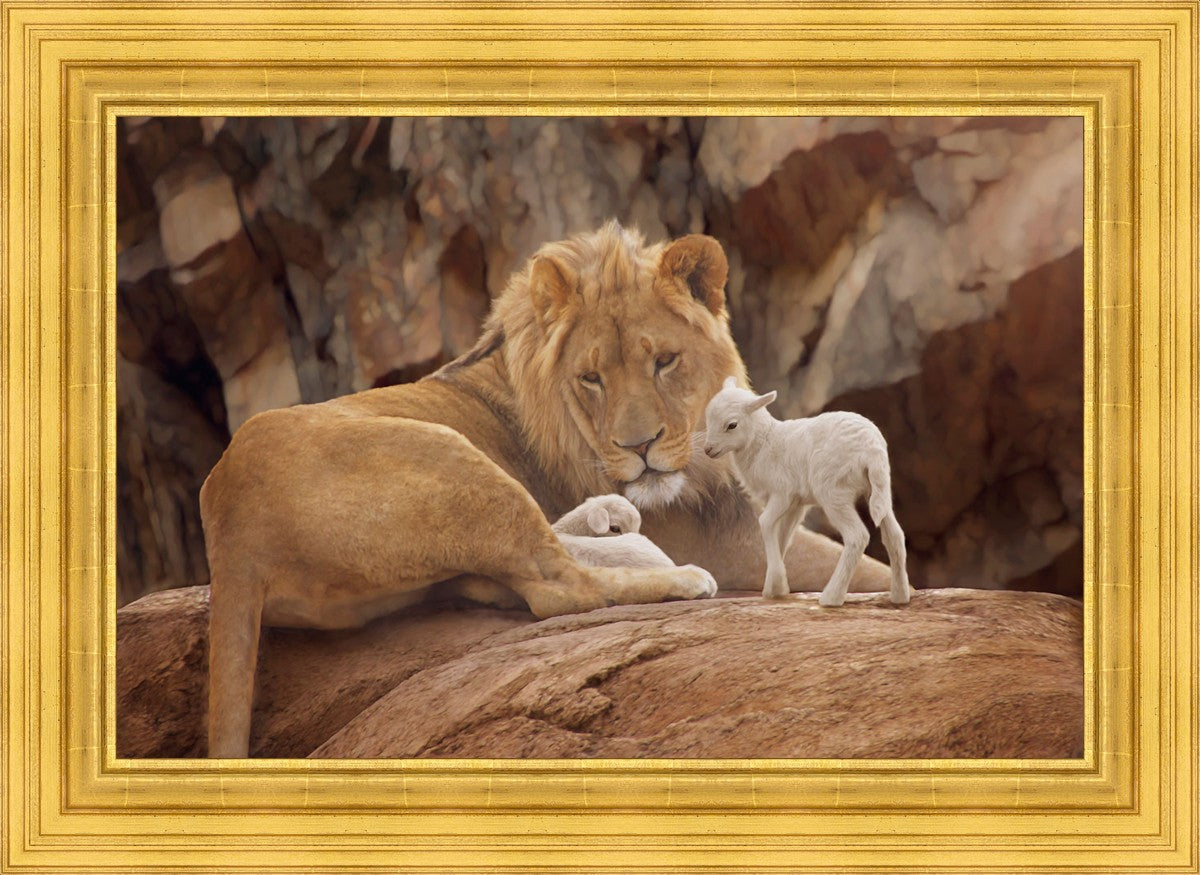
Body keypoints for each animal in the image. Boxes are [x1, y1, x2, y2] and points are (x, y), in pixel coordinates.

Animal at [702, 377, 911, 607]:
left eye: (732, 425)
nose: (708, 450)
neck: (763, 442)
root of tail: (871, 449)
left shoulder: (782, 493)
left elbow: (765, 523)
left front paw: (776, 583)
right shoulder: (796, 503)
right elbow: (783, 536)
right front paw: (775, 587)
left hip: (833, 491)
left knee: (857, 536)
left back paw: (831, 597)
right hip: (879, 489)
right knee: (895, 535)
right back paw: (900, 596)